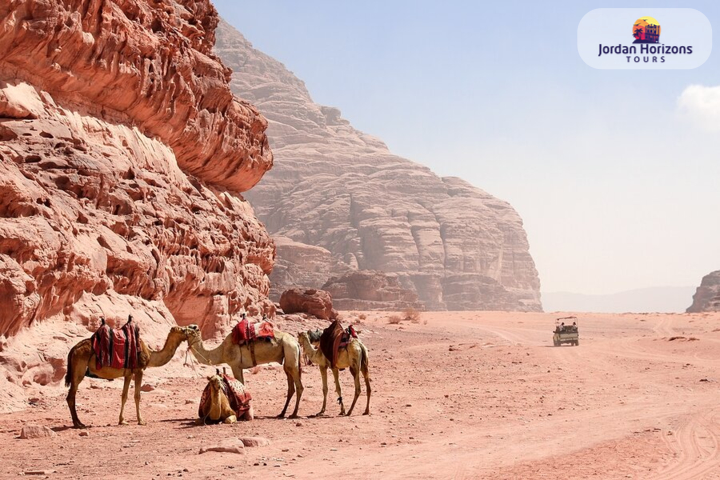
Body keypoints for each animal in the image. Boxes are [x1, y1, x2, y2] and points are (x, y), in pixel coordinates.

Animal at [64, 322, 193, 428]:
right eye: (183, 330)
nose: (194, 328)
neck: (150, 355)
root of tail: (73, 350)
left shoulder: (129, 374)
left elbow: (124, 396)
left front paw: (122, 420)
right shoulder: (139, 370)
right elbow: (137, 396)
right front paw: (141, 421)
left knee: (72, 395)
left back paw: (79, 422)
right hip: (79, 370)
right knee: (71, 396)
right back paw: (78, 424)